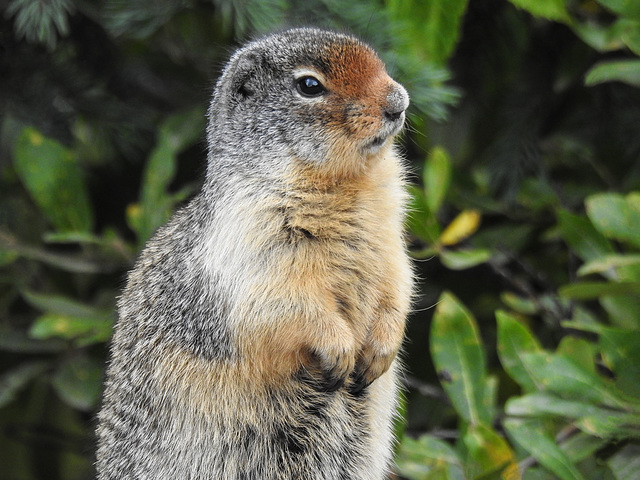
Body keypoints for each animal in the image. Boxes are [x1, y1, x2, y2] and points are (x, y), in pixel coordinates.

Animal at [95, 27, 416, 480]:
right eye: (309, 85)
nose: (398, 102)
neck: (346, 185)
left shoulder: (390, 239)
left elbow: (399, 285)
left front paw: (381, 350)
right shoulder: (251, 243)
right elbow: (281, 303)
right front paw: (339, 349)